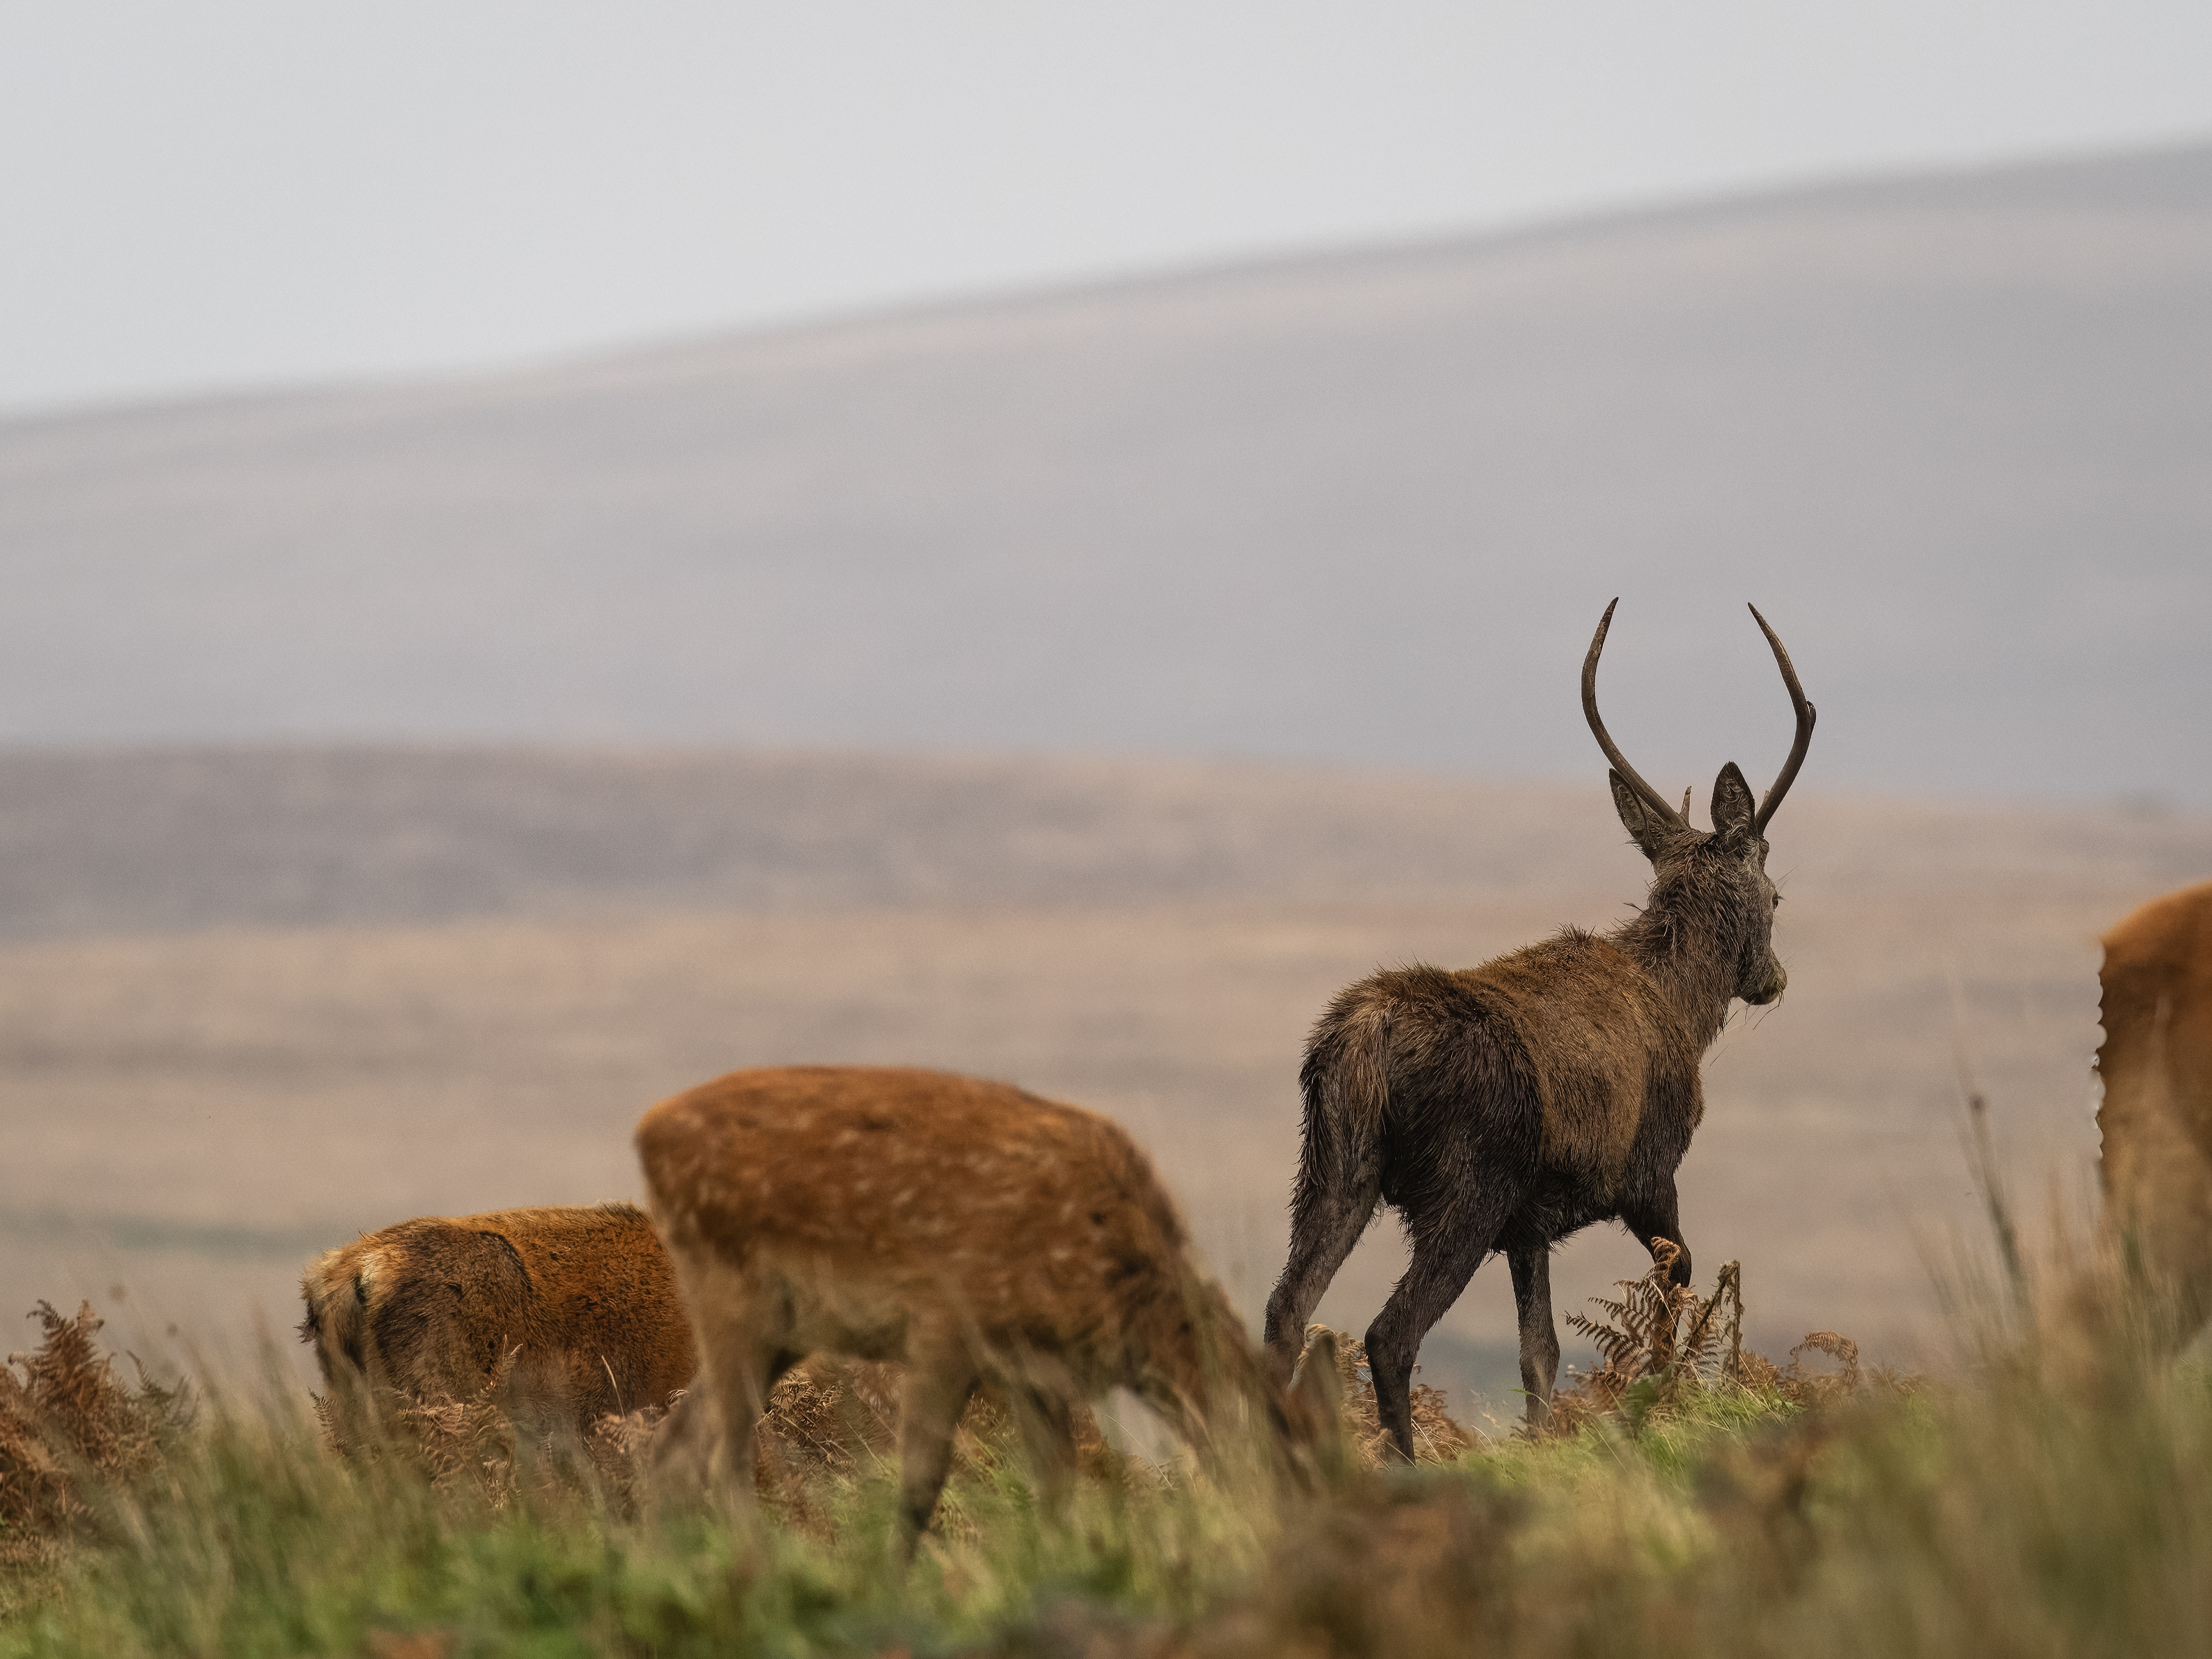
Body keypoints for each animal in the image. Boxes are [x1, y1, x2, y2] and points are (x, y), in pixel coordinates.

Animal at [634, 1064, 1335, 1553]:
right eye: (1293, 1473)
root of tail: (647, 1132)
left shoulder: (1033, 1371)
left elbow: (1056, 1490)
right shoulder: (945, 1323)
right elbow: (919, 1487)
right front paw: (887, 1582)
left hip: (784, 1329)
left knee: (676, 1448)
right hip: (729, 1289)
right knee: (722, 1459)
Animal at [1261, 599, 1816, 1459]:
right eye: (1776, 894)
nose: (1772, 979)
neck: (1687, 1011)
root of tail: (1365, 1041)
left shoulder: (1529, 1226)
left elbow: (1540, 1353)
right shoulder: (1648, 1170)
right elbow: (1677, 1282)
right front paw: (1655, 1405)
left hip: (1331, 1166)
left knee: (1286, 1311)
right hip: (1467, 1182)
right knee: (1388, 1332)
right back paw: (1403, 1467)